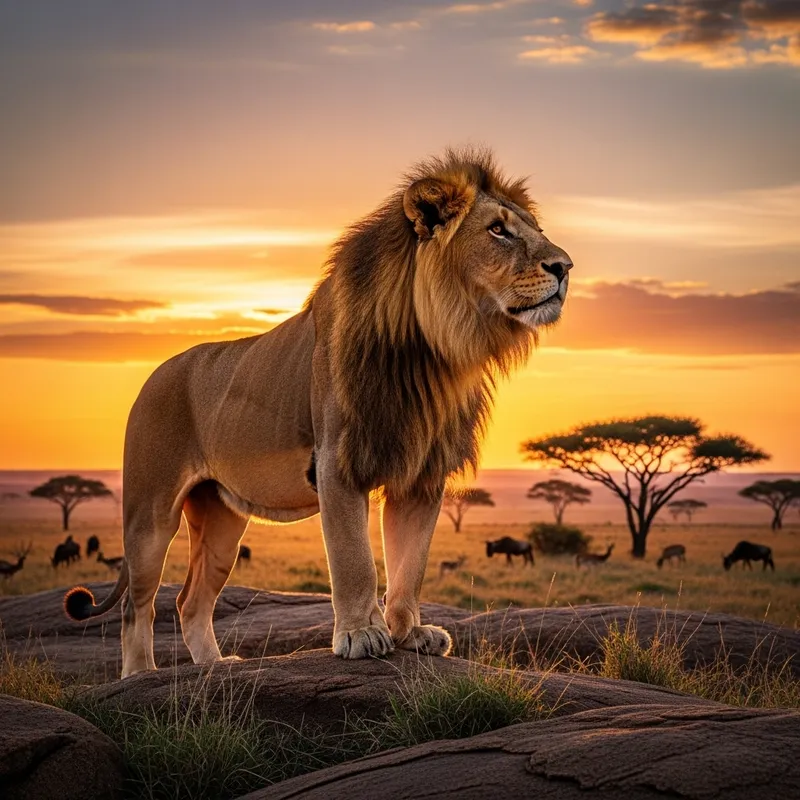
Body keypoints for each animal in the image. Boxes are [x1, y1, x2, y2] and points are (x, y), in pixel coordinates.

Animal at [64, 148, 573, 678]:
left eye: (534, 228)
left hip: (222, 520)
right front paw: (361, 635)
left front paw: (410, 634)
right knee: (136, 604)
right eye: (498, 230)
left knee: (190, 601)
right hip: (150, 514)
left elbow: (410, 563)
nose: (565, 266)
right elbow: (355, 559)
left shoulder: (420, 474)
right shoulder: (338, 462)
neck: (435, 352)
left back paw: (216, 667)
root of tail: (152, 376)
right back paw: (140, 675)